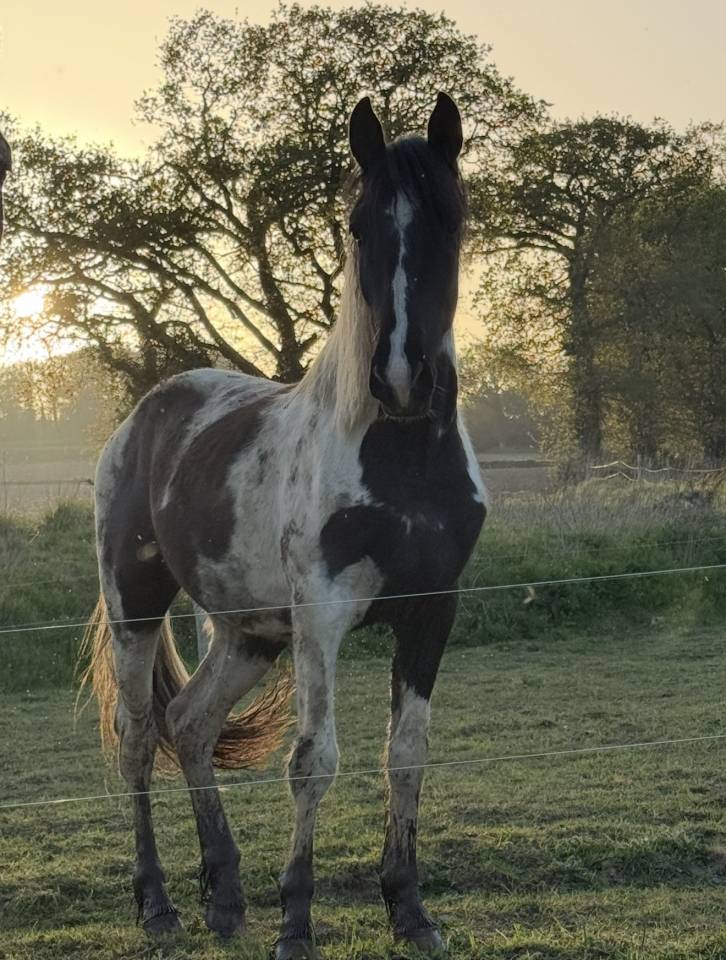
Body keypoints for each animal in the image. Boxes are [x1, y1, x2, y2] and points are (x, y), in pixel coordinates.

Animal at [80, 92, 487, 959]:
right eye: (361, 224)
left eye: (451, 218)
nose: (401, 378)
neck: (399, 456)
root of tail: (148, 414)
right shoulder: (322, 615)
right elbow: (314, 760)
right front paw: (297, 921)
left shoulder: (432, 612)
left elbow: (406, 755)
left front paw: (410, 909)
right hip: (136, 604)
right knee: (138, 735)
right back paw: (158, 904)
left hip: (248, 633)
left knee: (191, 724)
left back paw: (226, 897)